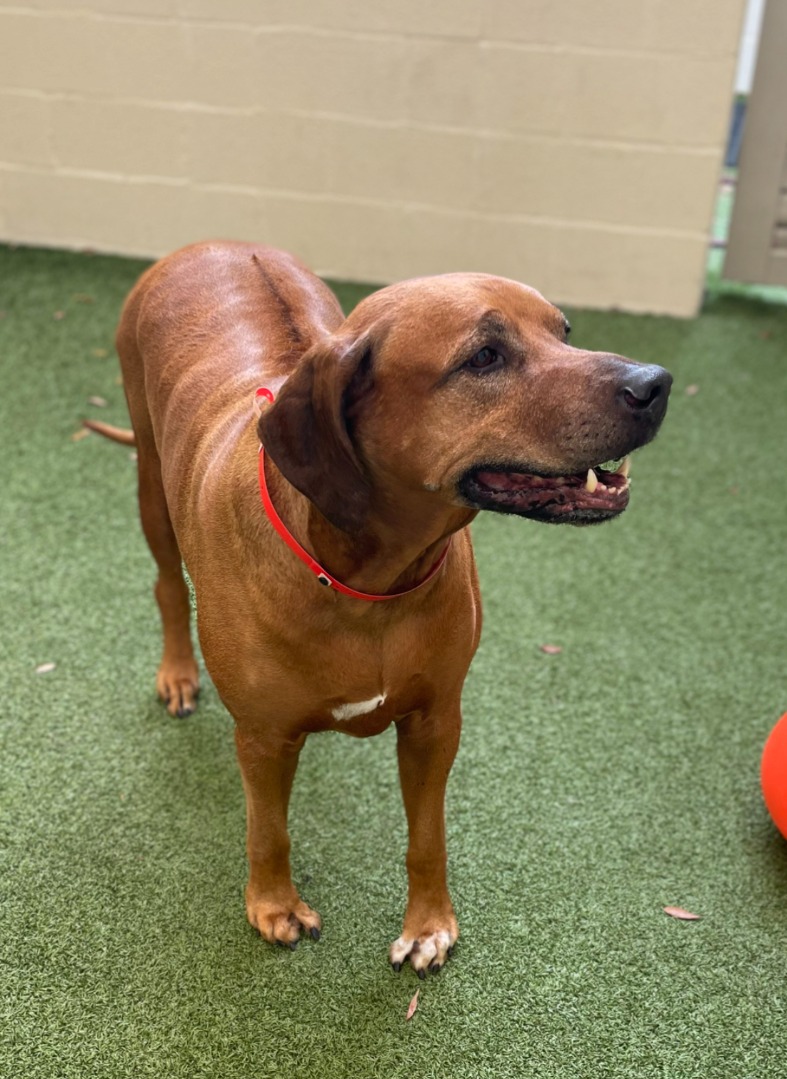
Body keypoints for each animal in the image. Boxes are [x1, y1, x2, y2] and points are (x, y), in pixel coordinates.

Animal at [85, 241, 671, 977]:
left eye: (564, 332)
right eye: (484, 357)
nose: (656, 383)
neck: (369, 584)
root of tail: (209, 244)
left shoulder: (435, 720)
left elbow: (428, 836)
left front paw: (428, 925)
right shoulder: (262, 736)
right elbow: (268, 829)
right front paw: (273, 905)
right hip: (151, 483)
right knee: (167, 582)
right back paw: (177, 674)